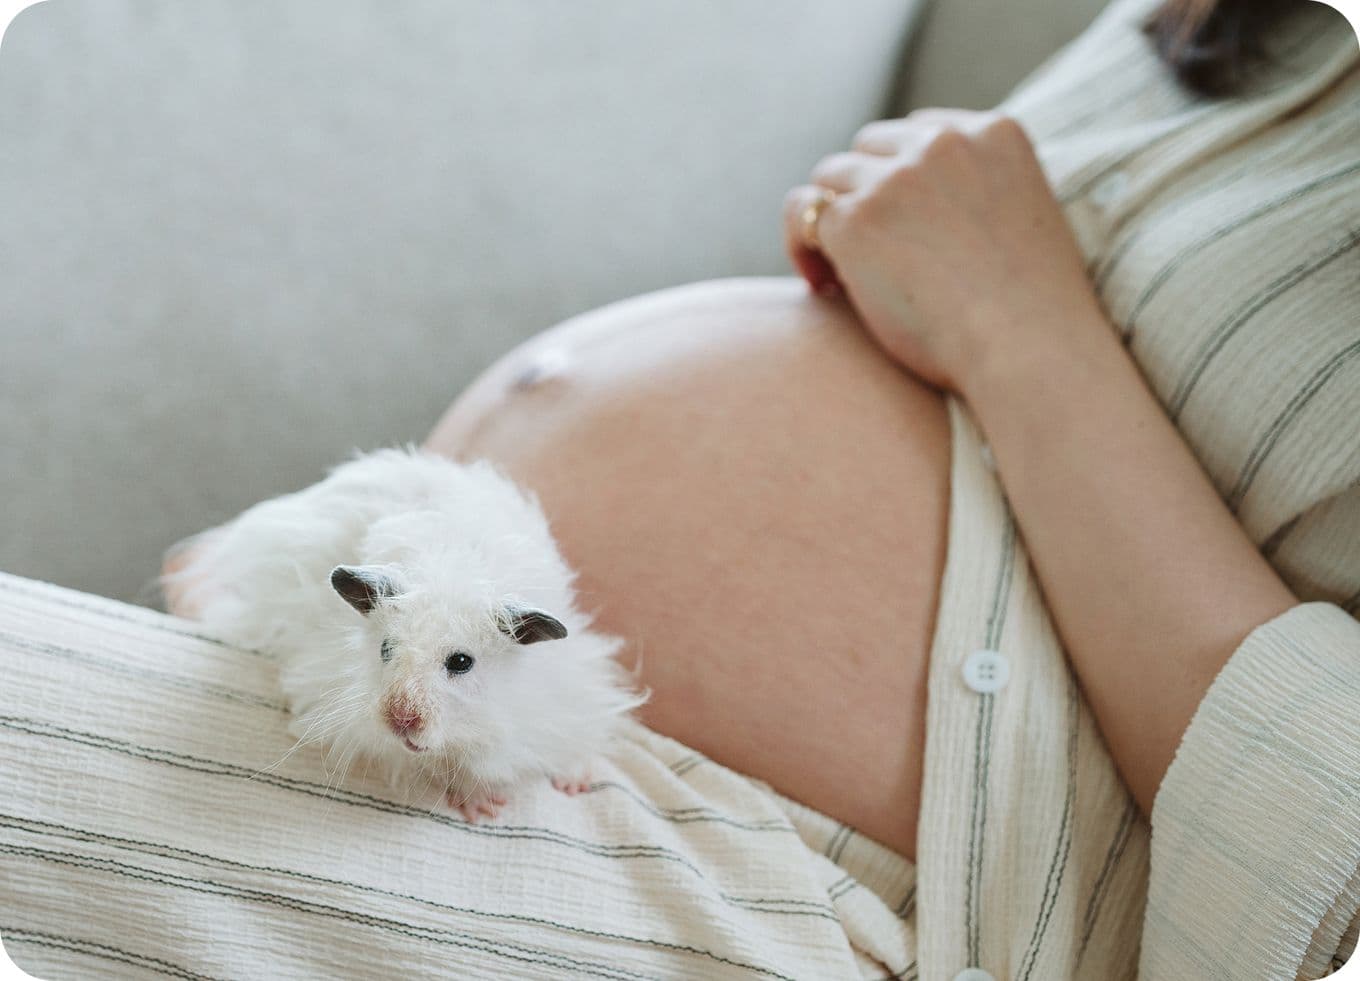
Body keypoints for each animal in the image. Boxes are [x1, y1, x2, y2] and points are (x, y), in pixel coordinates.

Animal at [162, 448, 646, 821]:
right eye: (385, 649)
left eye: (461, 662)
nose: (400, 721)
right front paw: (482, 808)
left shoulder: (569, 688)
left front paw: (573, 784)